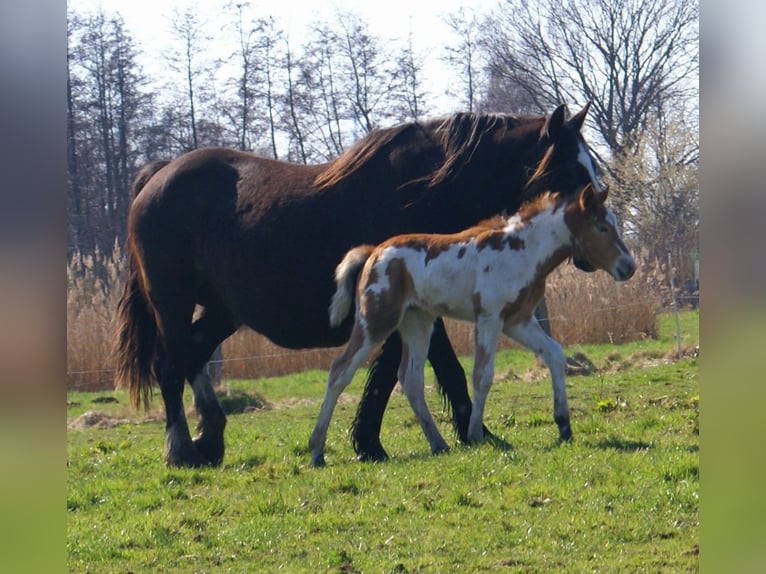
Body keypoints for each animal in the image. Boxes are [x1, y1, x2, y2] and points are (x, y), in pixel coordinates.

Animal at [309, 183, 635, 466]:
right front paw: (476, 434)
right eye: (602, 228)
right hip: (376, 321)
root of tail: (373, 252)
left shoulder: (517, 321)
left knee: (410, 379)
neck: (523, 251)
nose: (629, 267)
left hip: (418, 322)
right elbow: (482, 375)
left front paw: (564, 425)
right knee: (340, 370)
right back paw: (316, 451)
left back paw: (438, 443)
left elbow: (554, 354)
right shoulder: (489, 318)